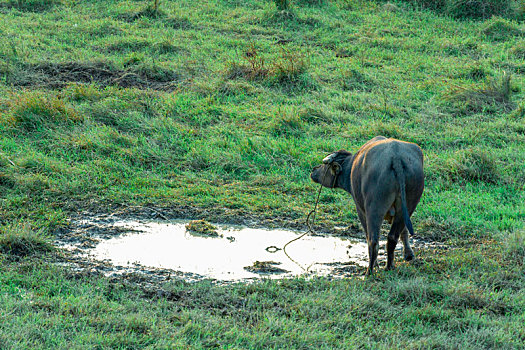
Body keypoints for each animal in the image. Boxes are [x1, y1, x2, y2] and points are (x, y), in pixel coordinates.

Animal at [310, 135, 424, 274]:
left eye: (324, 165)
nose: (314, 170)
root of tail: (396, 158)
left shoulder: (360, 209)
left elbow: (367, 234)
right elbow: (405, 231)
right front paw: (409, 255)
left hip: (374, 208)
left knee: (373, 239)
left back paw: (369, 271)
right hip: (408, 205)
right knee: (392, 237)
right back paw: (389, 266)